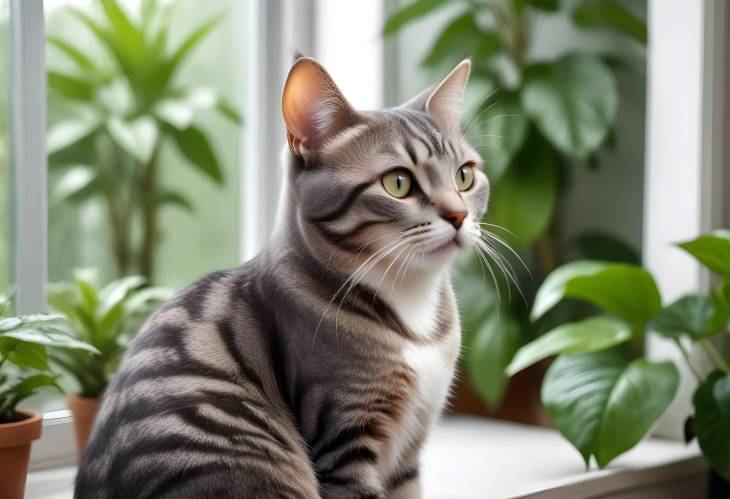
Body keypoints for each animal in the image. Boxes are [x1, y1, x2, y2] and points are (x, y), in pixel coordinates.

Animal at [72, 55, 490, 499]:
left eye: (465, 175)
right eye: (398, 182)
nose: (458, 215)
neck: (412, 304)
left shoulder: (409, 452)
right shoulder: (342, 436)